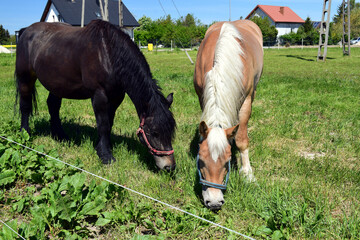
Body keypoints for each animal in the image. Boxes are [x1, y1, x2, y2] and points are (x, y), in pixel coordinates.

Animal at [15, 20, 176, 171]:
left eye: (171, 131)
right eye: (154, 132)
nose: (170, 167)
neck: (108, 53)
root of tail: (26, 31)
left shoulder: (116, 97)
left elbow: (109, 123)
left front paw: (104, 147)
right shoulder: (99, 95)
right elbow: (103, 124)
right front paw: (106, 155)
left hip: (57, 84)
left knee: (53, 106)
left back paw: (60, 136)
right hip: (25, 78)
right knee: (25, 105)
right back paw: (25, 134)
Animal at [193, 19, 262, 209]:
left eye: (227, 162)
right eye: (201, 161)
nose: (214, 202)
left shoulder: (245, 102)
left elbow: (242, 140)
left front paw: (247, 173)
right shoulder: (202, 96)